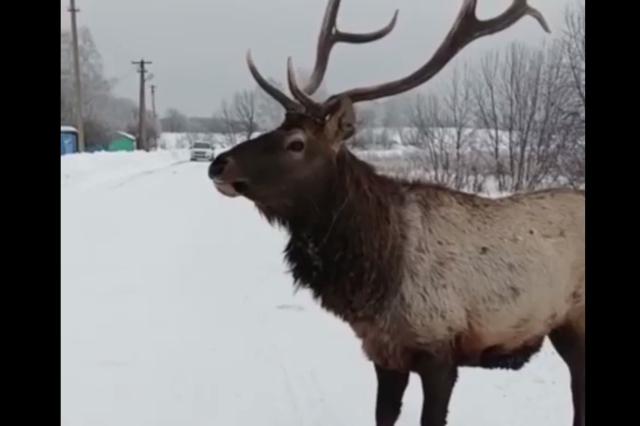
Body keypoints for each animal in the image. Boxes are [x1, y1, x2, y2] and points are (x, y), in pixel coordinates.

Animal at [209, 1, 584, 424]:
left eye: (297, 143)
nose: (219, 165)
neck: (377, 273)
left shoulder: (440, 351)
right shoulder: (384, 353)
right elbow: (383, 414)